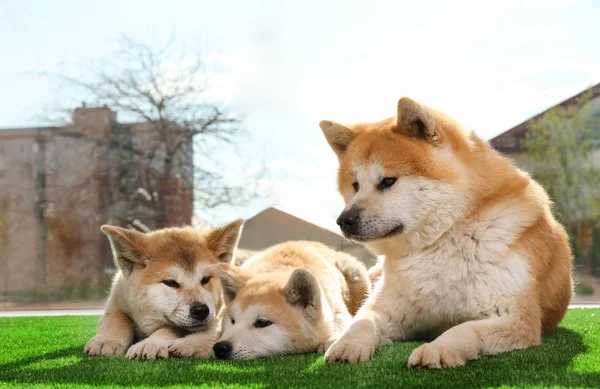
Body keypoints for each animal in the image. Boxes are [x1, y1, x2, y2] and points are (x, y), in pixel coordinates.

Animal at [84, 220, 244, 360]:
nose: (201, 310)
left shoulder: (217, 318)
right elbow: (117, 318)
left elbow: (171, 328)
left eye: (205, 279)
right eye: (171, 283)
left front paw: (150, 344)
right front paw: (106, 341)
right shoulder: (115, 305)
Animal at [210, 241, 370, 360]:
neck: (281, 270)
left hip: (357, 277)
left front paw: (331, 339)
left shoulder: (338, 311)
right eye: (232, 320)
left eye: (262, 323)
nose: (220, 348)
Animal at [318, 96, 572, 366]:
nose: (344, 220)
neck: (442, 240)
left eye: (387, 181)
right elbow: (362, 322)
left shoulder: (514, 317)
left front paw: (438, 348)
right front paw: (346, 344)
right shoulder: (387, 308)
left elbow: (464, 329)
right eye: (355, 186)